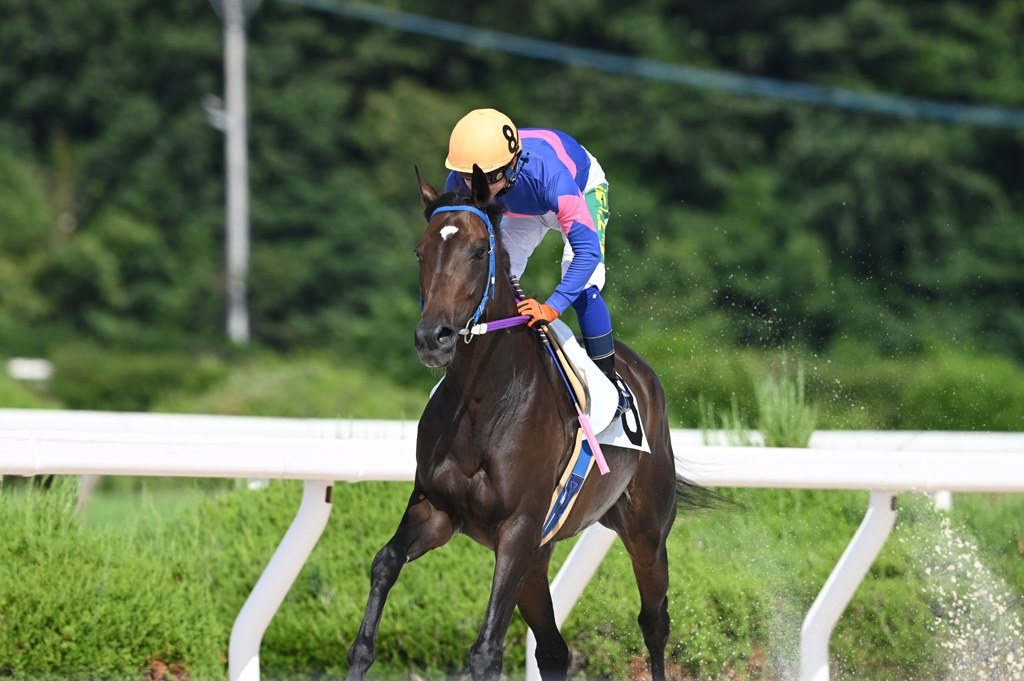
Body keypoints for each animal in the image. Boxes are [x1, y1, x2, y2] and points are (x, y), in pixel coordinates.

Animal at [345, 166, 711, 681]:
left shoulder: (516, 531)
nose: (433, 338)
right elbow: (385, 563)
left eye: (479, 252)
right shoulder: (438, 510)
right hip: (540, 554)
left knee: (654, 623)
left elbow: (486, 650)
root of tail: (640, 372)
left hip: (647, 532)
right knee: (554, 650)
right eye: (421, 251)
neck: (483, 403)